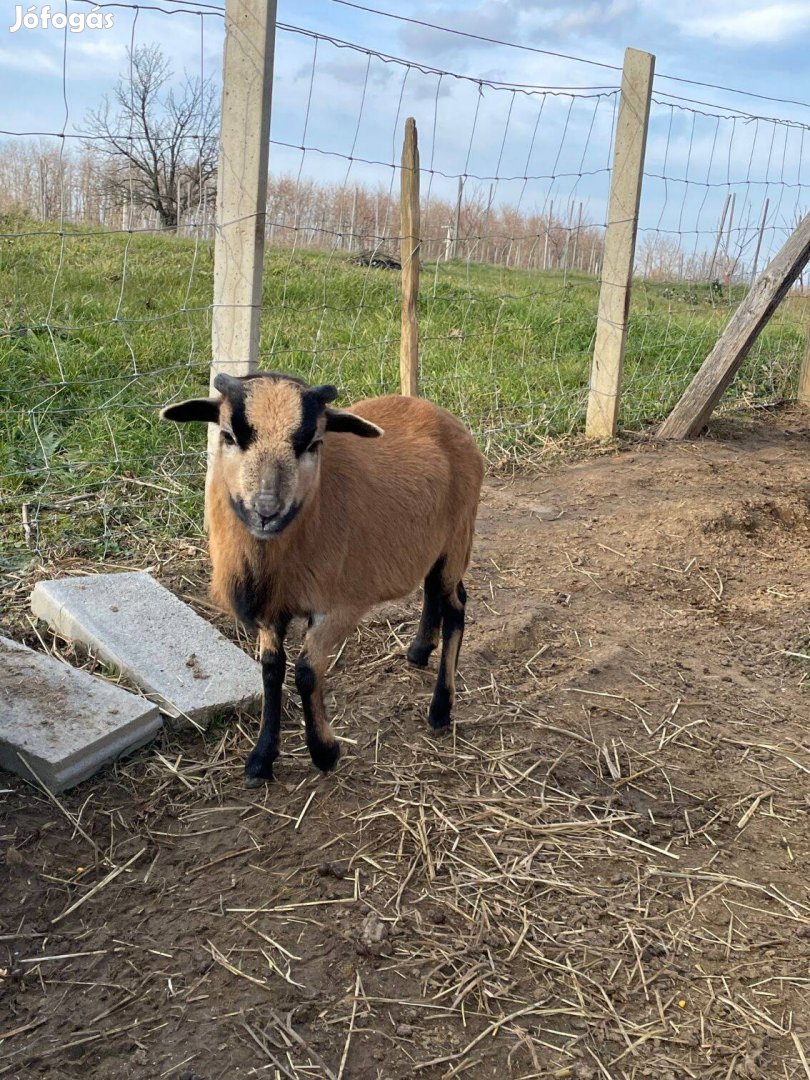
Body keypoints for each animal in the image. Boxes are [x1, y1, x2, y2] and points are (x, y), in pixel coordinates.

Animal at [162, 371, 486, 786]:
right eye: (228, 436)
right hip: (434, 544)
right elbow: (271, 670)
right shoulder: (272, 607)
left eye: (314, 443)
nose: (266, 510)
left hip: (459, 535)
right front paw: (260, 760)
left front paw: (324, 751)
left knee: (456, 607)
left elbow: (306, 671)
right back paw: (417, 651)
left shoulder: (341, 606)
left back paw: (441, 709)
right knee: (436, 593)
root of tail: (438, 412)